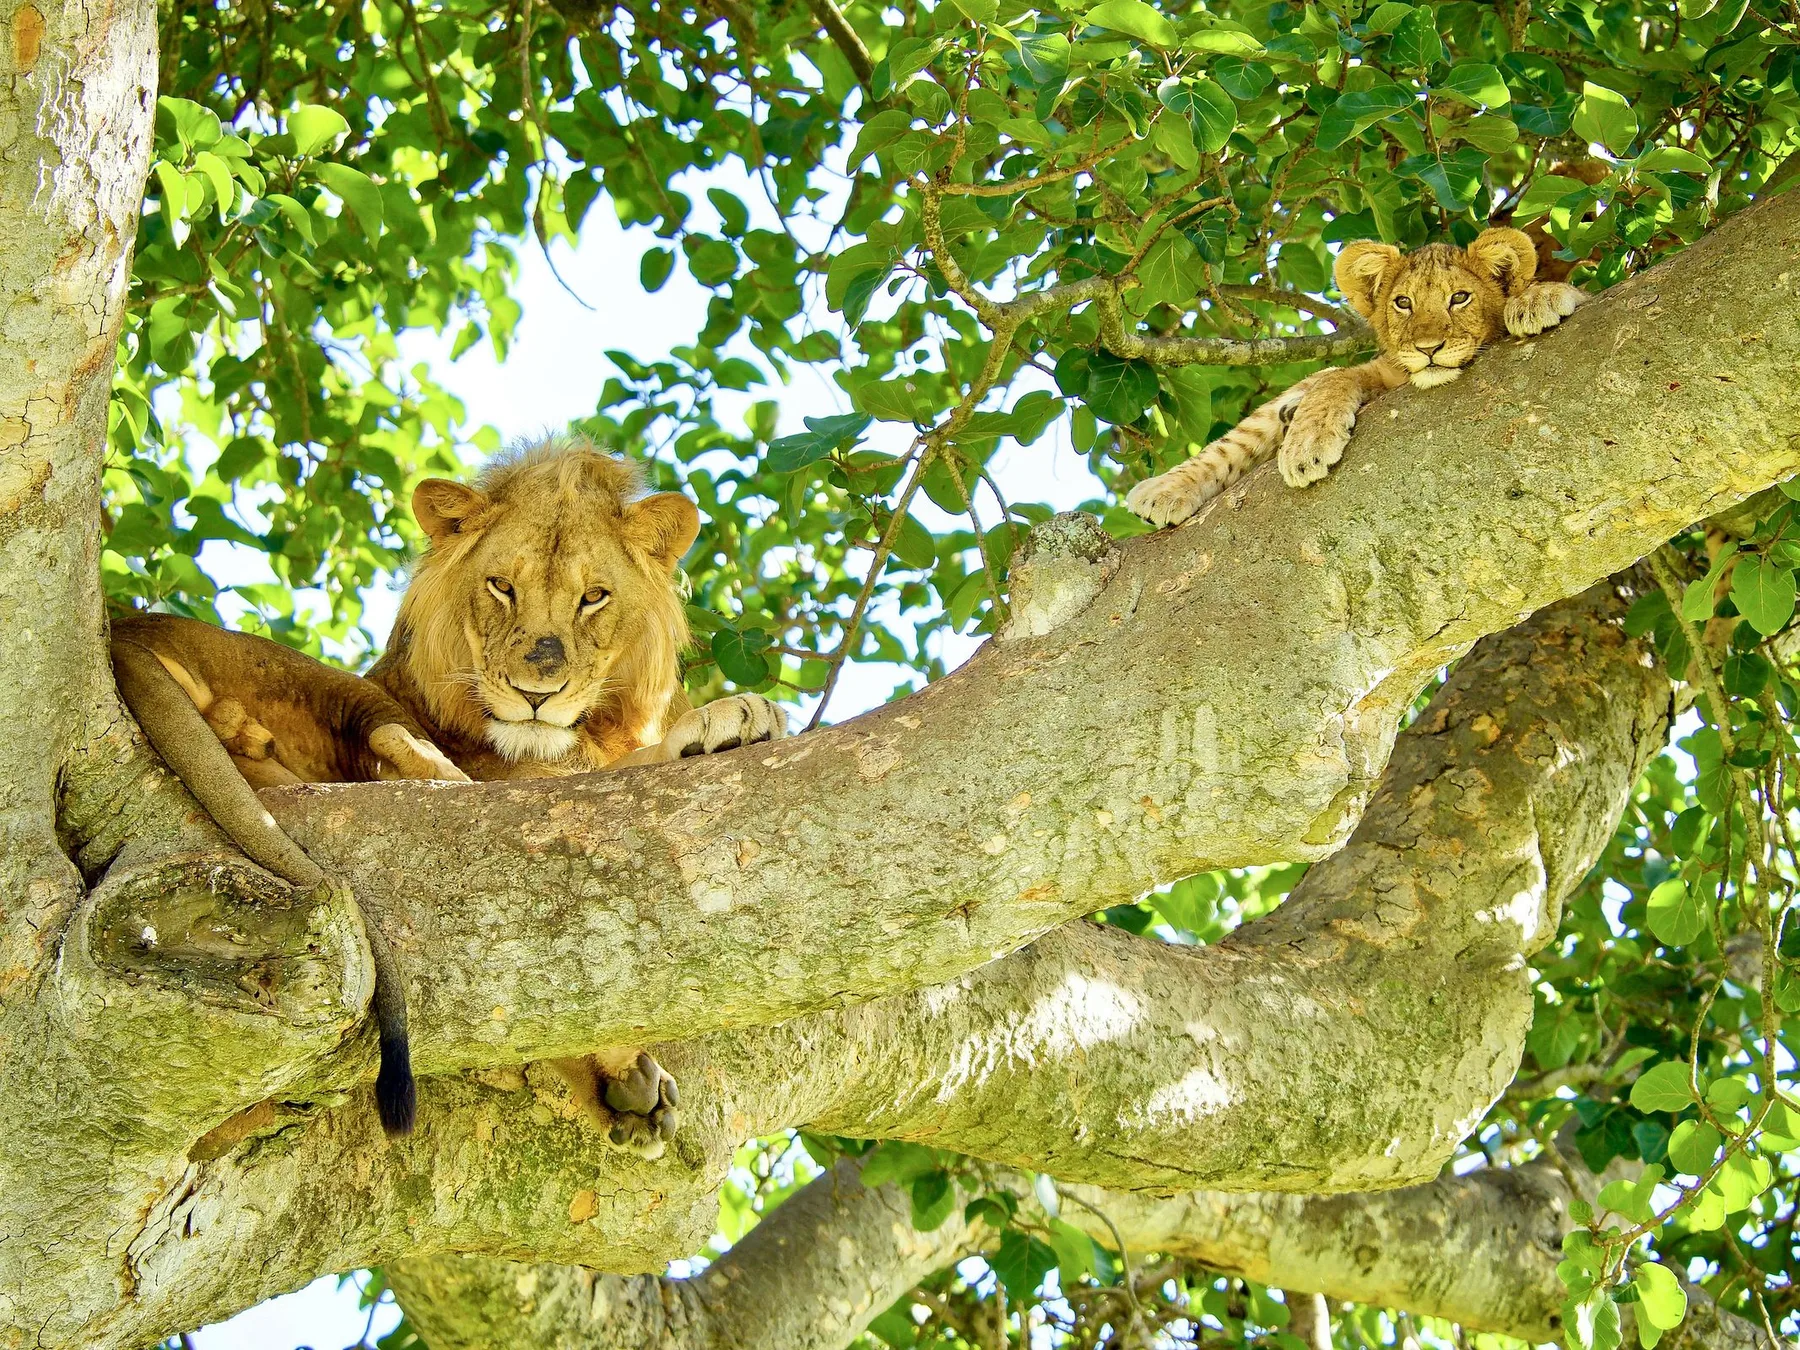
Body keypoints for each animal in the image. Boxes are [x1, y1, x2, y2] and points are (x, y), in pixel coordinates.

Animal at [1125, 226, 1586, 528]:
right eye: (1403, 303)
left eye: (1460, 298)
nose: (1428, 348)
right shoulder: (1380, 371)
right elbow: (1336, 378)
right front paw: (1306, 445)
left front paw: (1537, 298)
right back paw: (1164, 490)